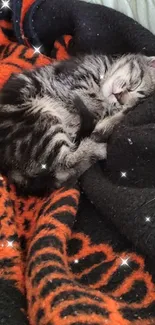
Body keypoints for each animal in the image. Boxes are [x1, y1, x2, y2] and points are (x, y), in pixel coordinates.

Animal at [0, 54, 154, 194]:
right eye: (136, 84)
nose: (121, 100)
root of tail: (11, 169)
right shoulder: (73, 79)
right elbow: (86, 99)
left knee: (65, 167)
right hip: (40, 119)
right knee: (66, 162)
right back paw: (101, 147)